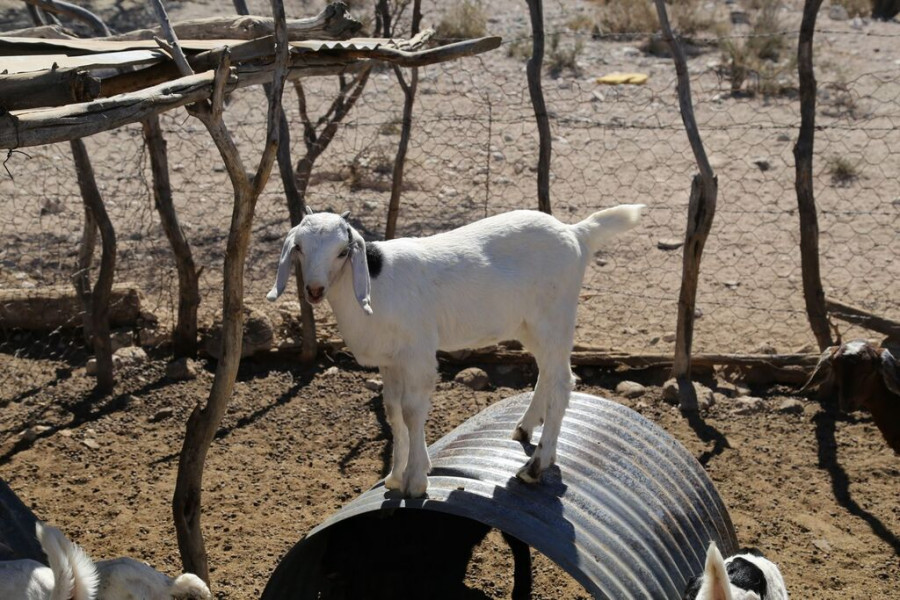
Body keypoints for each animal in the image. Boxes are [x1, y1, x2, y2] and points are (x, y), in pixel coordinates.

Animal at [268, 205, 648, 496]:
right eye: (299, 247)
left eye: (343, 251)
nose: (314, 290)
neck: (375, 284)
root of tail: (576, 234)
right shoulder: (390, 362)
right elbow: (392, 412)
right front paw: (394, 476)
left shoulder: (418, 354)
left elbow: (412, 412)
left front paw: (416, 480)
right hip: (528, 325)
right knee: (548, 373)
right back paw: (525, 427)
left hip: (555, 317)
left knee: (563, 382)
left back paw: (536, 465)